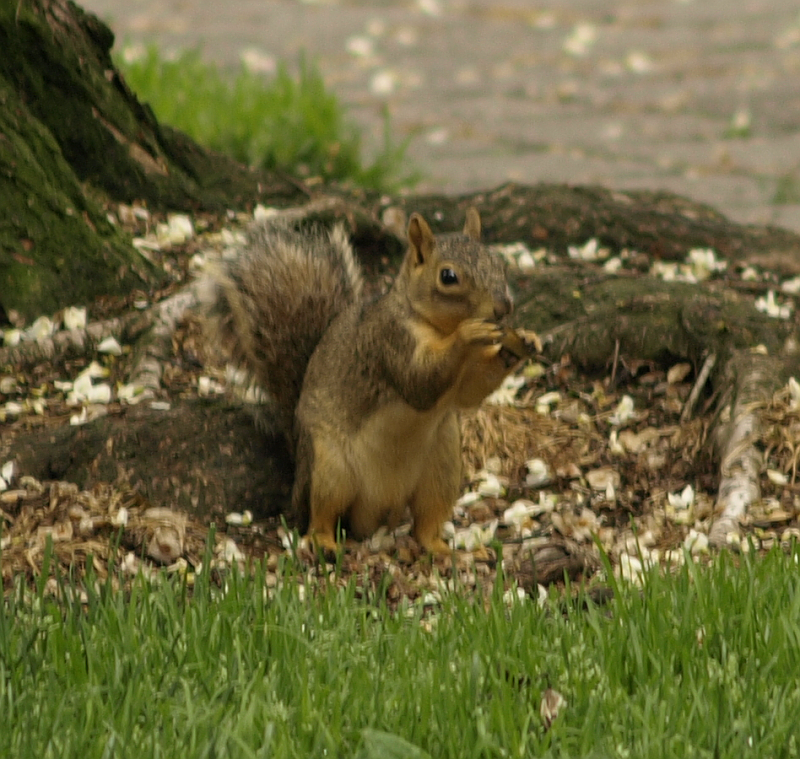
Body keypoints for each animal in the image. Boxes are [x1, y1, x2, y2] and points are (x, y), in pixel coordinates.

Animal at [202, 208, 528, 555]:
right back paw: (325, 542)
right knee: (322, 514)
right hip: (329, 468)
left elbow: (470, 393)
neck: (437, 327)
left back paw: (438, 548)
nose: (504, 307)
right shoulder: (388, 340)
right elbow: (419, 383)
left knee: (427, 518)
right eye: (448, 276)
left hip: (442, 467)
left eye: (498, 263)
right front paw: (469, 333)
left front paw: (521, 344)